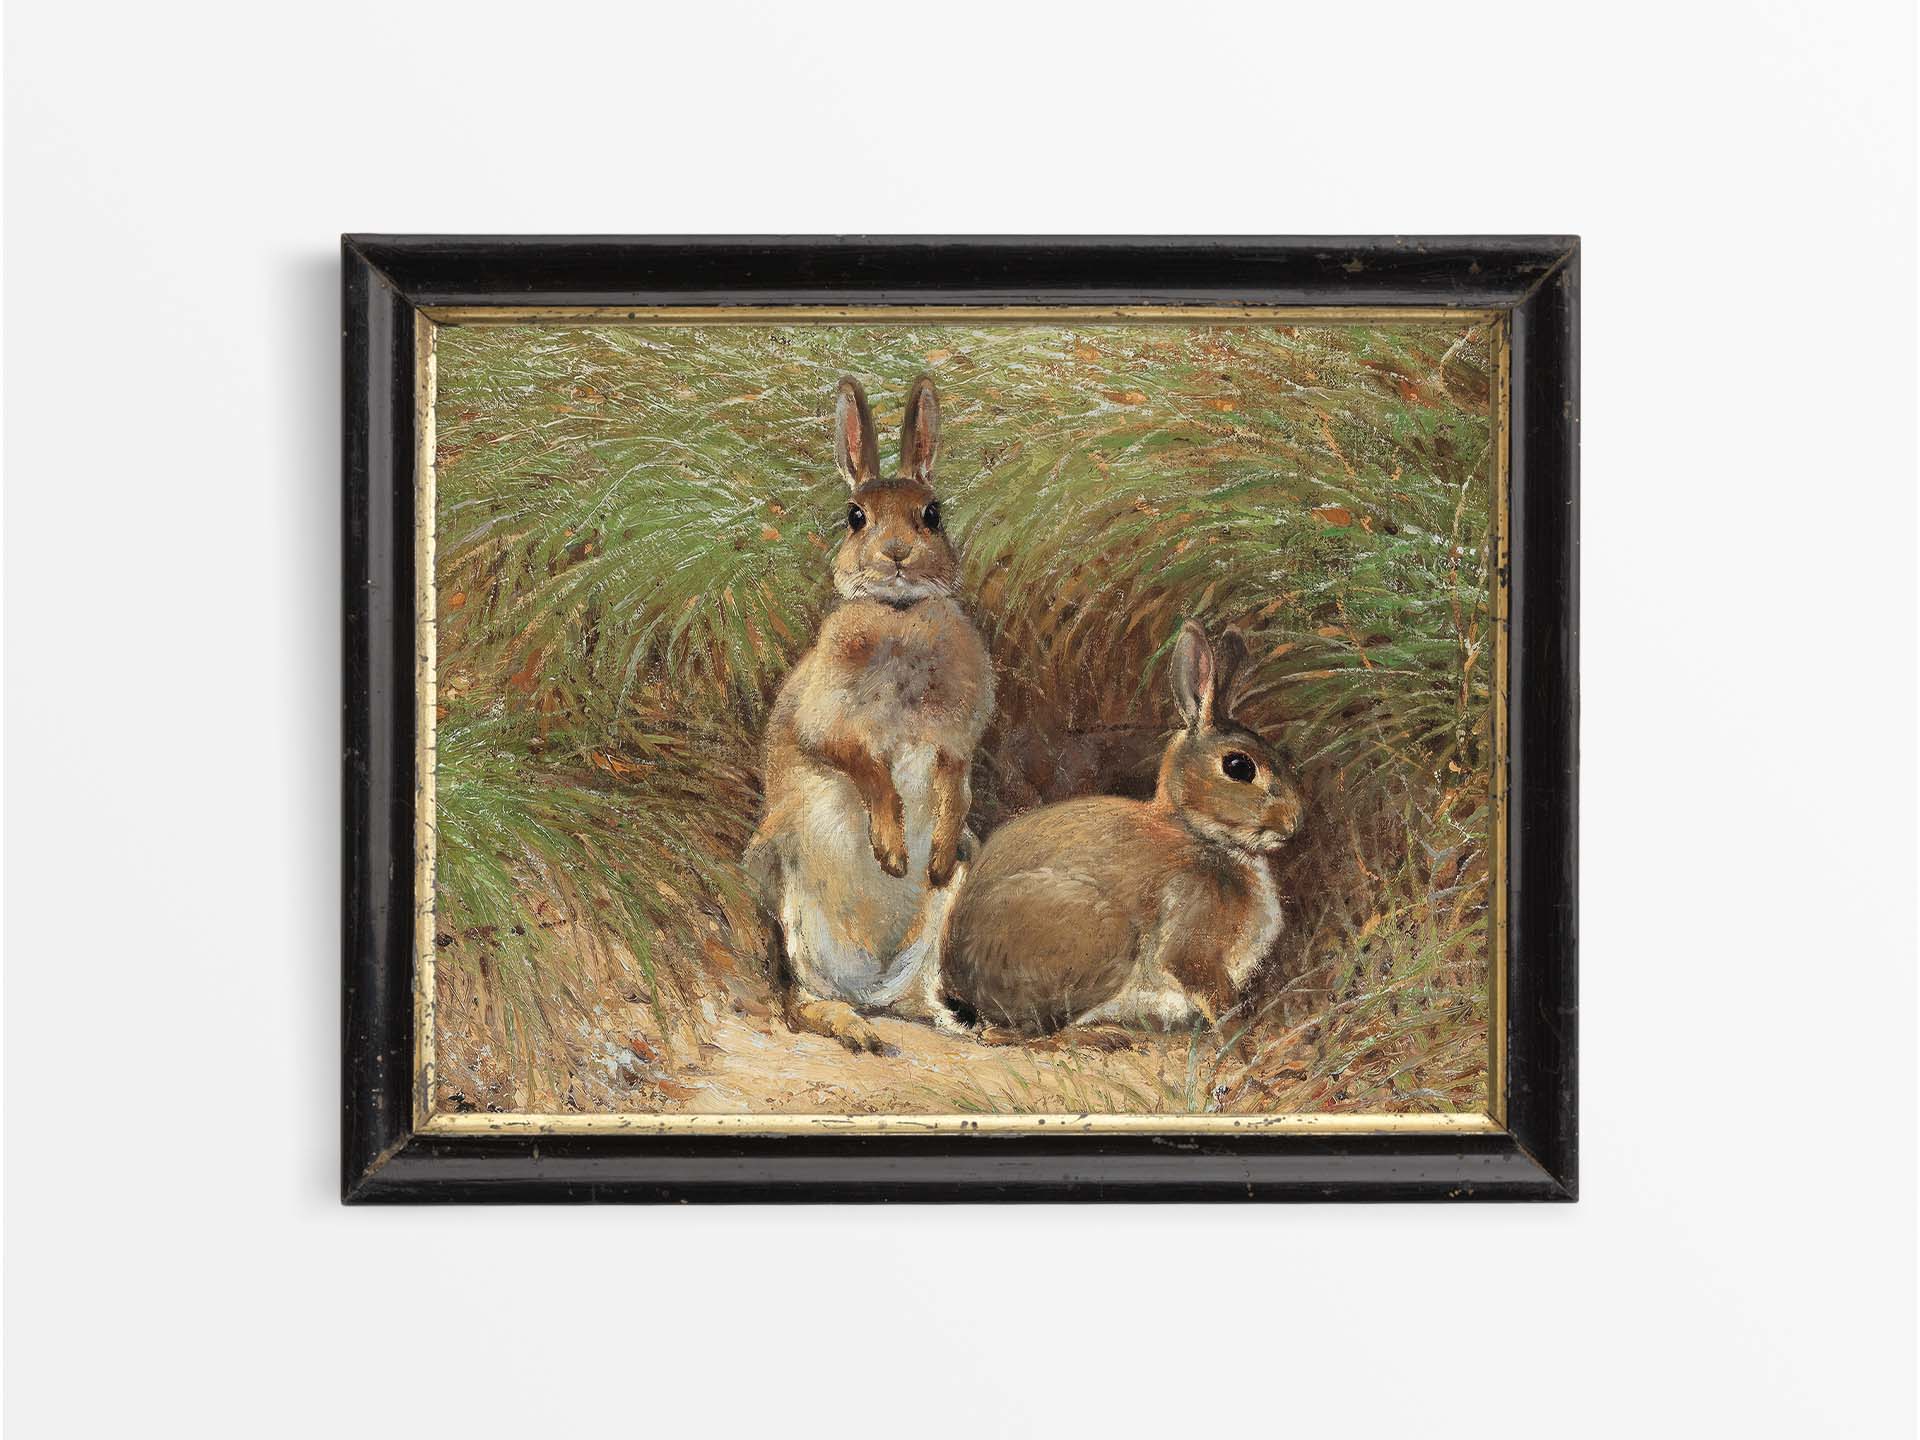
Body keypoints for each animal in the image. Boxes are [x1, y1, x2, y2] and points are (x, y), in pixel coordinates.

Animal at [743, 376, 994, 1054]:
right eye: (855, 517)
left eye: (933, 513)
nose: (898, 554)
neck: (899, 616)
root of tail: (871, 984)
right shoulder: (828, 725)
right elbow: (866, 767)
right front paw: (892, 853)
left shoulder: (956, 742)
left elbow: (954, 784)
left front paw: (929, 858)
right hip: (790, 893)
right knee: (799, 997)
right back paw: (852, 1027)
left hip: (938, 919)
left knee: (916, 995)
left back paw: (957, 1023)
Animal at [940, 621, 1305, 1044]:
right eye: (1239, 767)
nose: (1295, 823)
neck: (1198, 833)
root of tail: (960, 985)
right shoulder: (1191, 944)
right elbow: (1215, 996)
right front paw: (1241, 1036)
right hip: (1104, 937)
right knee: (1025, 1032)